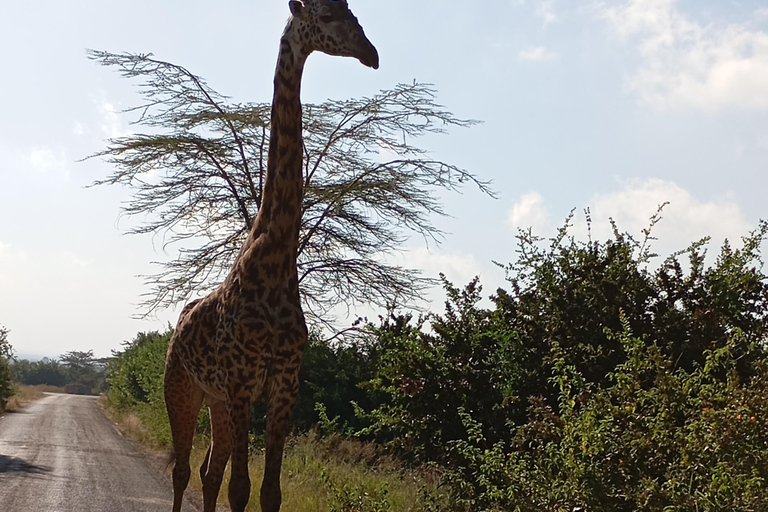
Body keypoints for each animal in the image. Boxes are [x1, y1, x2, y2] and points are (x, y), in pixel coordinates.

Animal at [164, 2, 376, 510]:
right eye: (326, 15)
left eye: (355, 13)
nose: (371, 53)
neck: (276, 255)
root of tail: (175, 328)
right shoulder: (243, 383)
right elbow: (241, 489)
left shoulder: (283, 385)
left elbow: (269, 492)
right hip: (182, 388)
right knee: (183, 469)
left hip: (216, 401)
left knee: (208, 470)